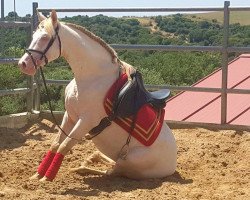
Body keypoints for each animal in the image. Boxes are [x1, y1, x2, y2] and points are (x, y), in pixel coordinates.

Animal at [18, 10, 177, 181]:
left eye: (45, 37)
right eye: (33, 36)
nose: (23, 64)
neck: (92, 77)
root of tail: (172, 165)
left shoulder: (86, 121)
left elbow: (64, 146)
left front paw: (47, 178)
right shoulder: (70, 116)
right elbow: (55, 144)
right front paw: (37, 175)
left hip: (128, 161)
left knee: (111, 171)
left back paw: (80, 167)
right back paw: (92, 157)